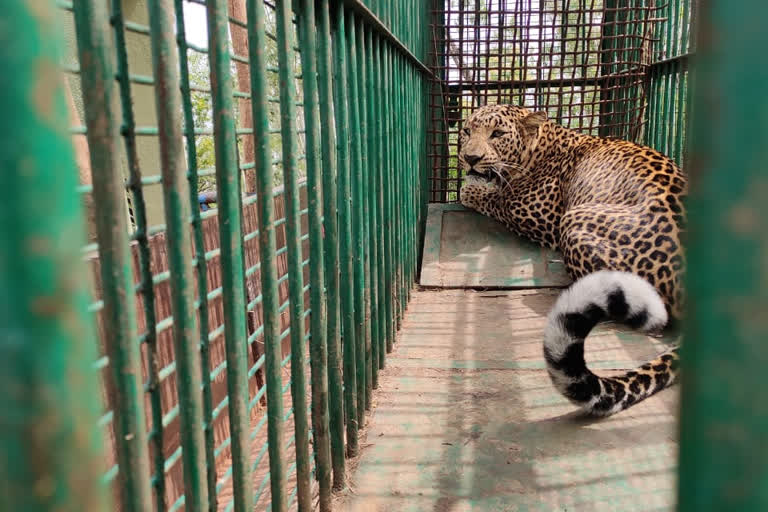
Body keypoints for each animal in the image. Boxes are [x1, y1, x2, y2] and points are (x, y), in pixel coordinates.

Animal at [460, 104, 688, 416]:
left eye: (497, 134)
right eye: (466, 131)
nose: (470, 158)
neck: (540, 147)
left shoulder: (536, 215)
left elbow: (498, 199)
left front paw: (470, 189)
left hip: (573, 222)